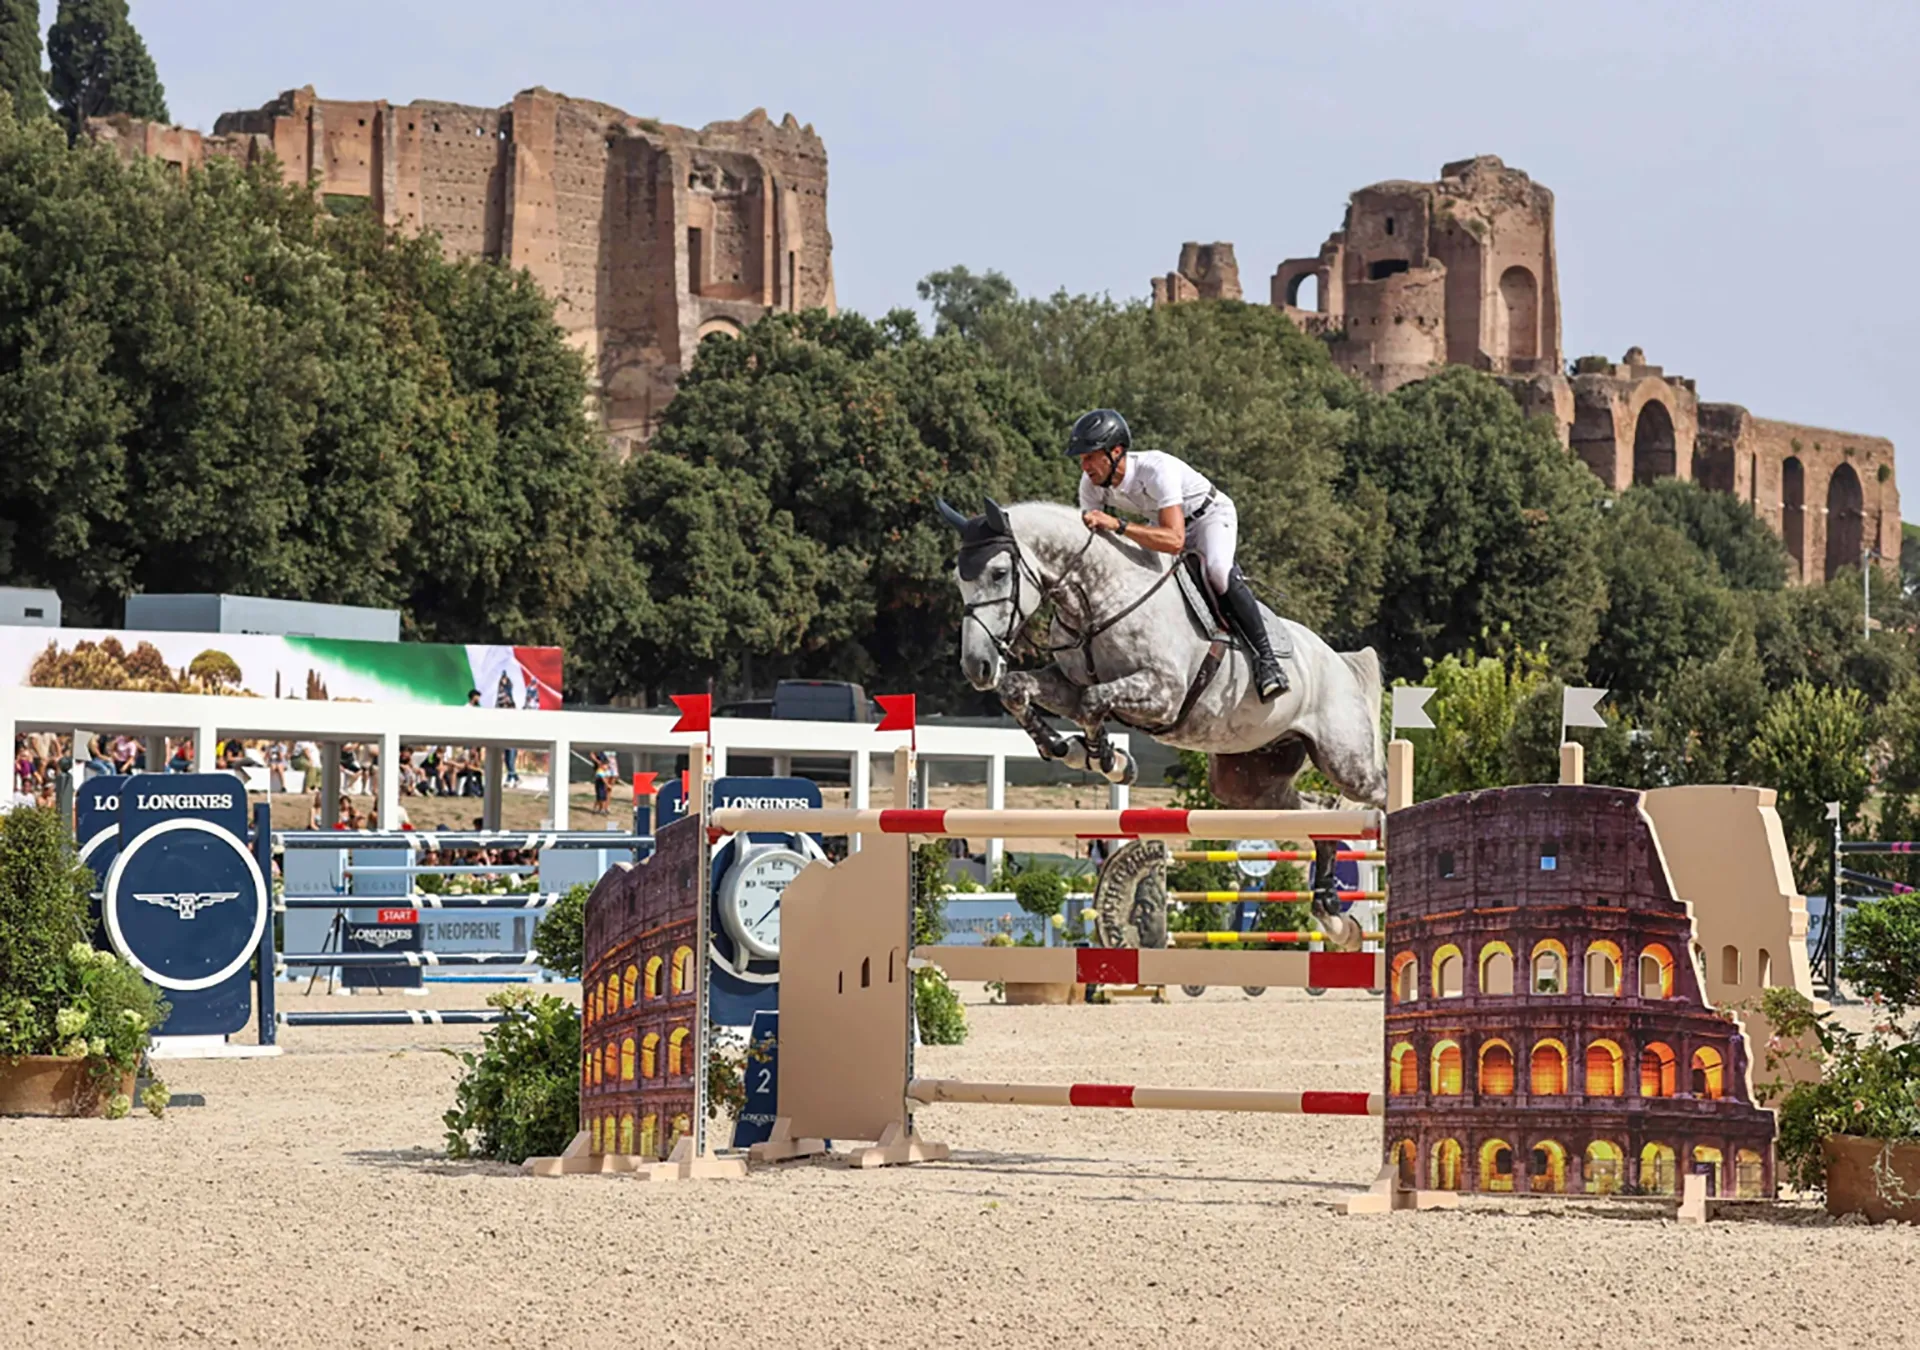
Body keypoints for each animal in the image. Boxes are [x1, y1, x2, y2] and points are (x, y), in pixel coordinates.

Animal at [939, 498, 1387, 947]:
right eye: (958, 580)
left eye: (999, 573)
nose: (976, 667)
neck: (1098, 600)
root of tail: (1338, 660)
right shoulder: (1067, 684)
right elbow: (1020, 690)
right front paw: (1067, 748)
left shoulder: (1164, 693)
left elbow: (1093, 702)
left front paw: (1107, 759)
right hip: (1248, 781)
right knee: (1320, 810)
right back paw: (1331, 912)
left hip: (1346, 762)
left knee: (1378, 794)